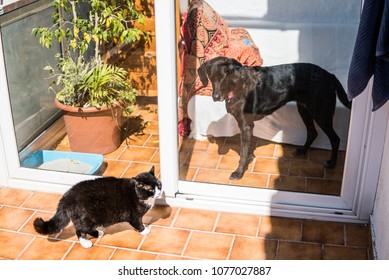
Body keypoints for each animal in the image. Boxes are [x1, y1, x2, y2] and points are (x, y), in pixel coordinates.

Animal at [32, 166, 161, 247]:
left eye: (159, 185)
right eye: (150, 189)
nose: (159, 192)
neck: (136, 192)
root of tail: (66, 197)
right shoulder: (133, 215)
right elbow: (137, 223)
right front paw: (144, 230)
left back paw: (98, 233)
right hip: (89, 218)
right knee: (80, 231)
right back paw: (86, 243)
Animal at [199, 56, 350, 179]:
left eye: (224, 76)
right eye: (210, 76)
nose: (215, 97)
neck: (236, 87)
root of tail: (330, 75)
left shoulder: (245, 125)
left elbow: (242, 153)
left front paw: (239, 172)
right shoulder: (249, 126)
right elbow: (247, 150)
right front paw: (249, 158)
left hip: (321, 113)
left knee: (335, 139)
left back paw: (331, 163)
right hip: (304, 108)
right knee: (313, 132)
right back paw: (302, 151)